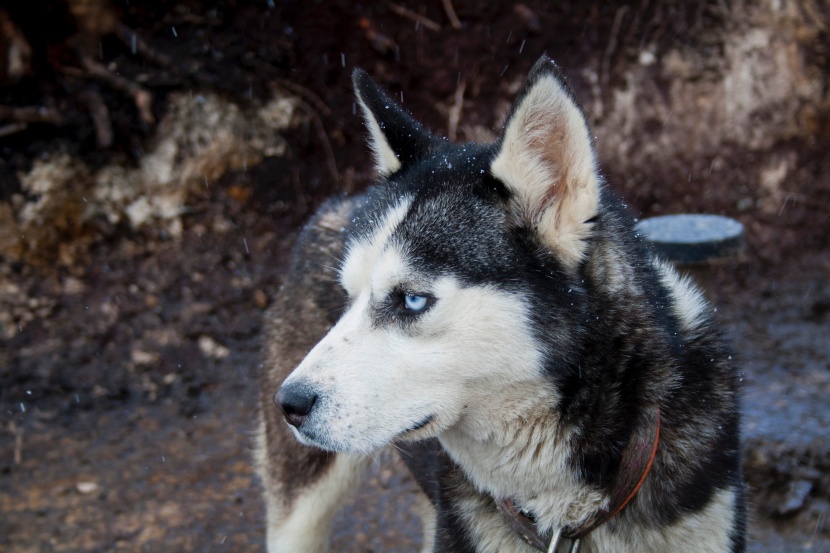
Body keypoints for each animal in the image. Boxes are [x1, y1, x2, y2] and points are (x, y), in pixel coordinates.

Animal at [255, 57, 748, 552]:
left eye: (412, 300)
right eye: (348, 296)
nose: (288, 403)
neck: (564, 512)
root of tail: (336, 200)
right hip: (300, 514)